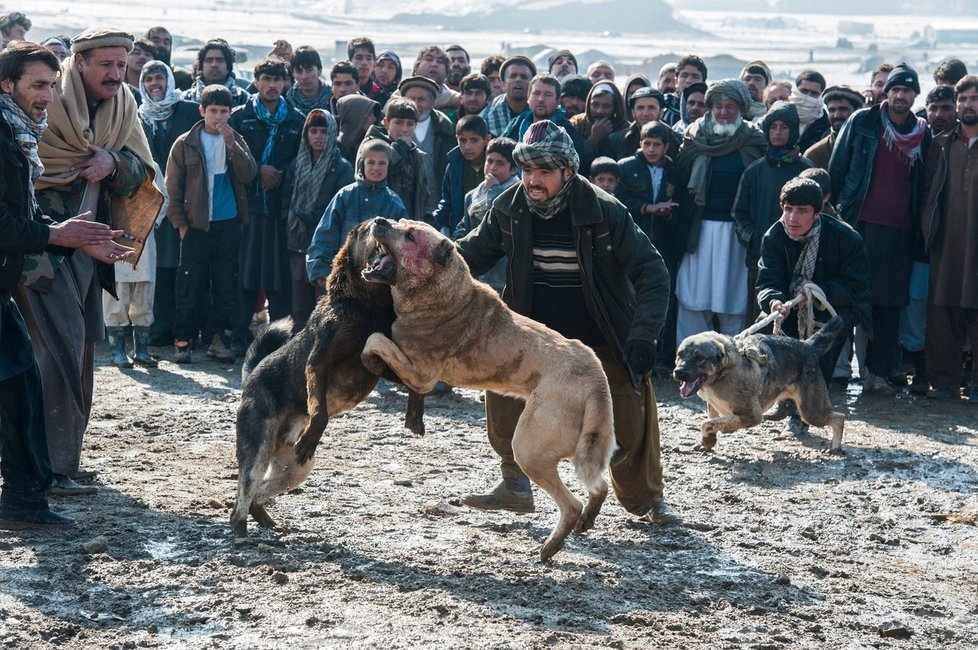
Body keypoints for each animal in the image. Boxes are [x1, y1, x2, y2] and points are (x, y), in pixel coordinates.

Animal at [233, 223, 428, 536]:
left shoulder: (380, 361)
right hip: (258, 448)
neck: (365, 305)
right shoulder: (318, 364)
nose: (380, 220)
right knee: (244, 490)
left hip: (296, 470)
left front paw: (415, 415)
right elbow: (320, 413)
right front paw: (314, 433)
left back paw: (266, 520)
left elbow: (413, 380)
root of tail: (251, 374)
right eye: (363, 229)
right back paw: (239, 530)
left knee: (258, 494)